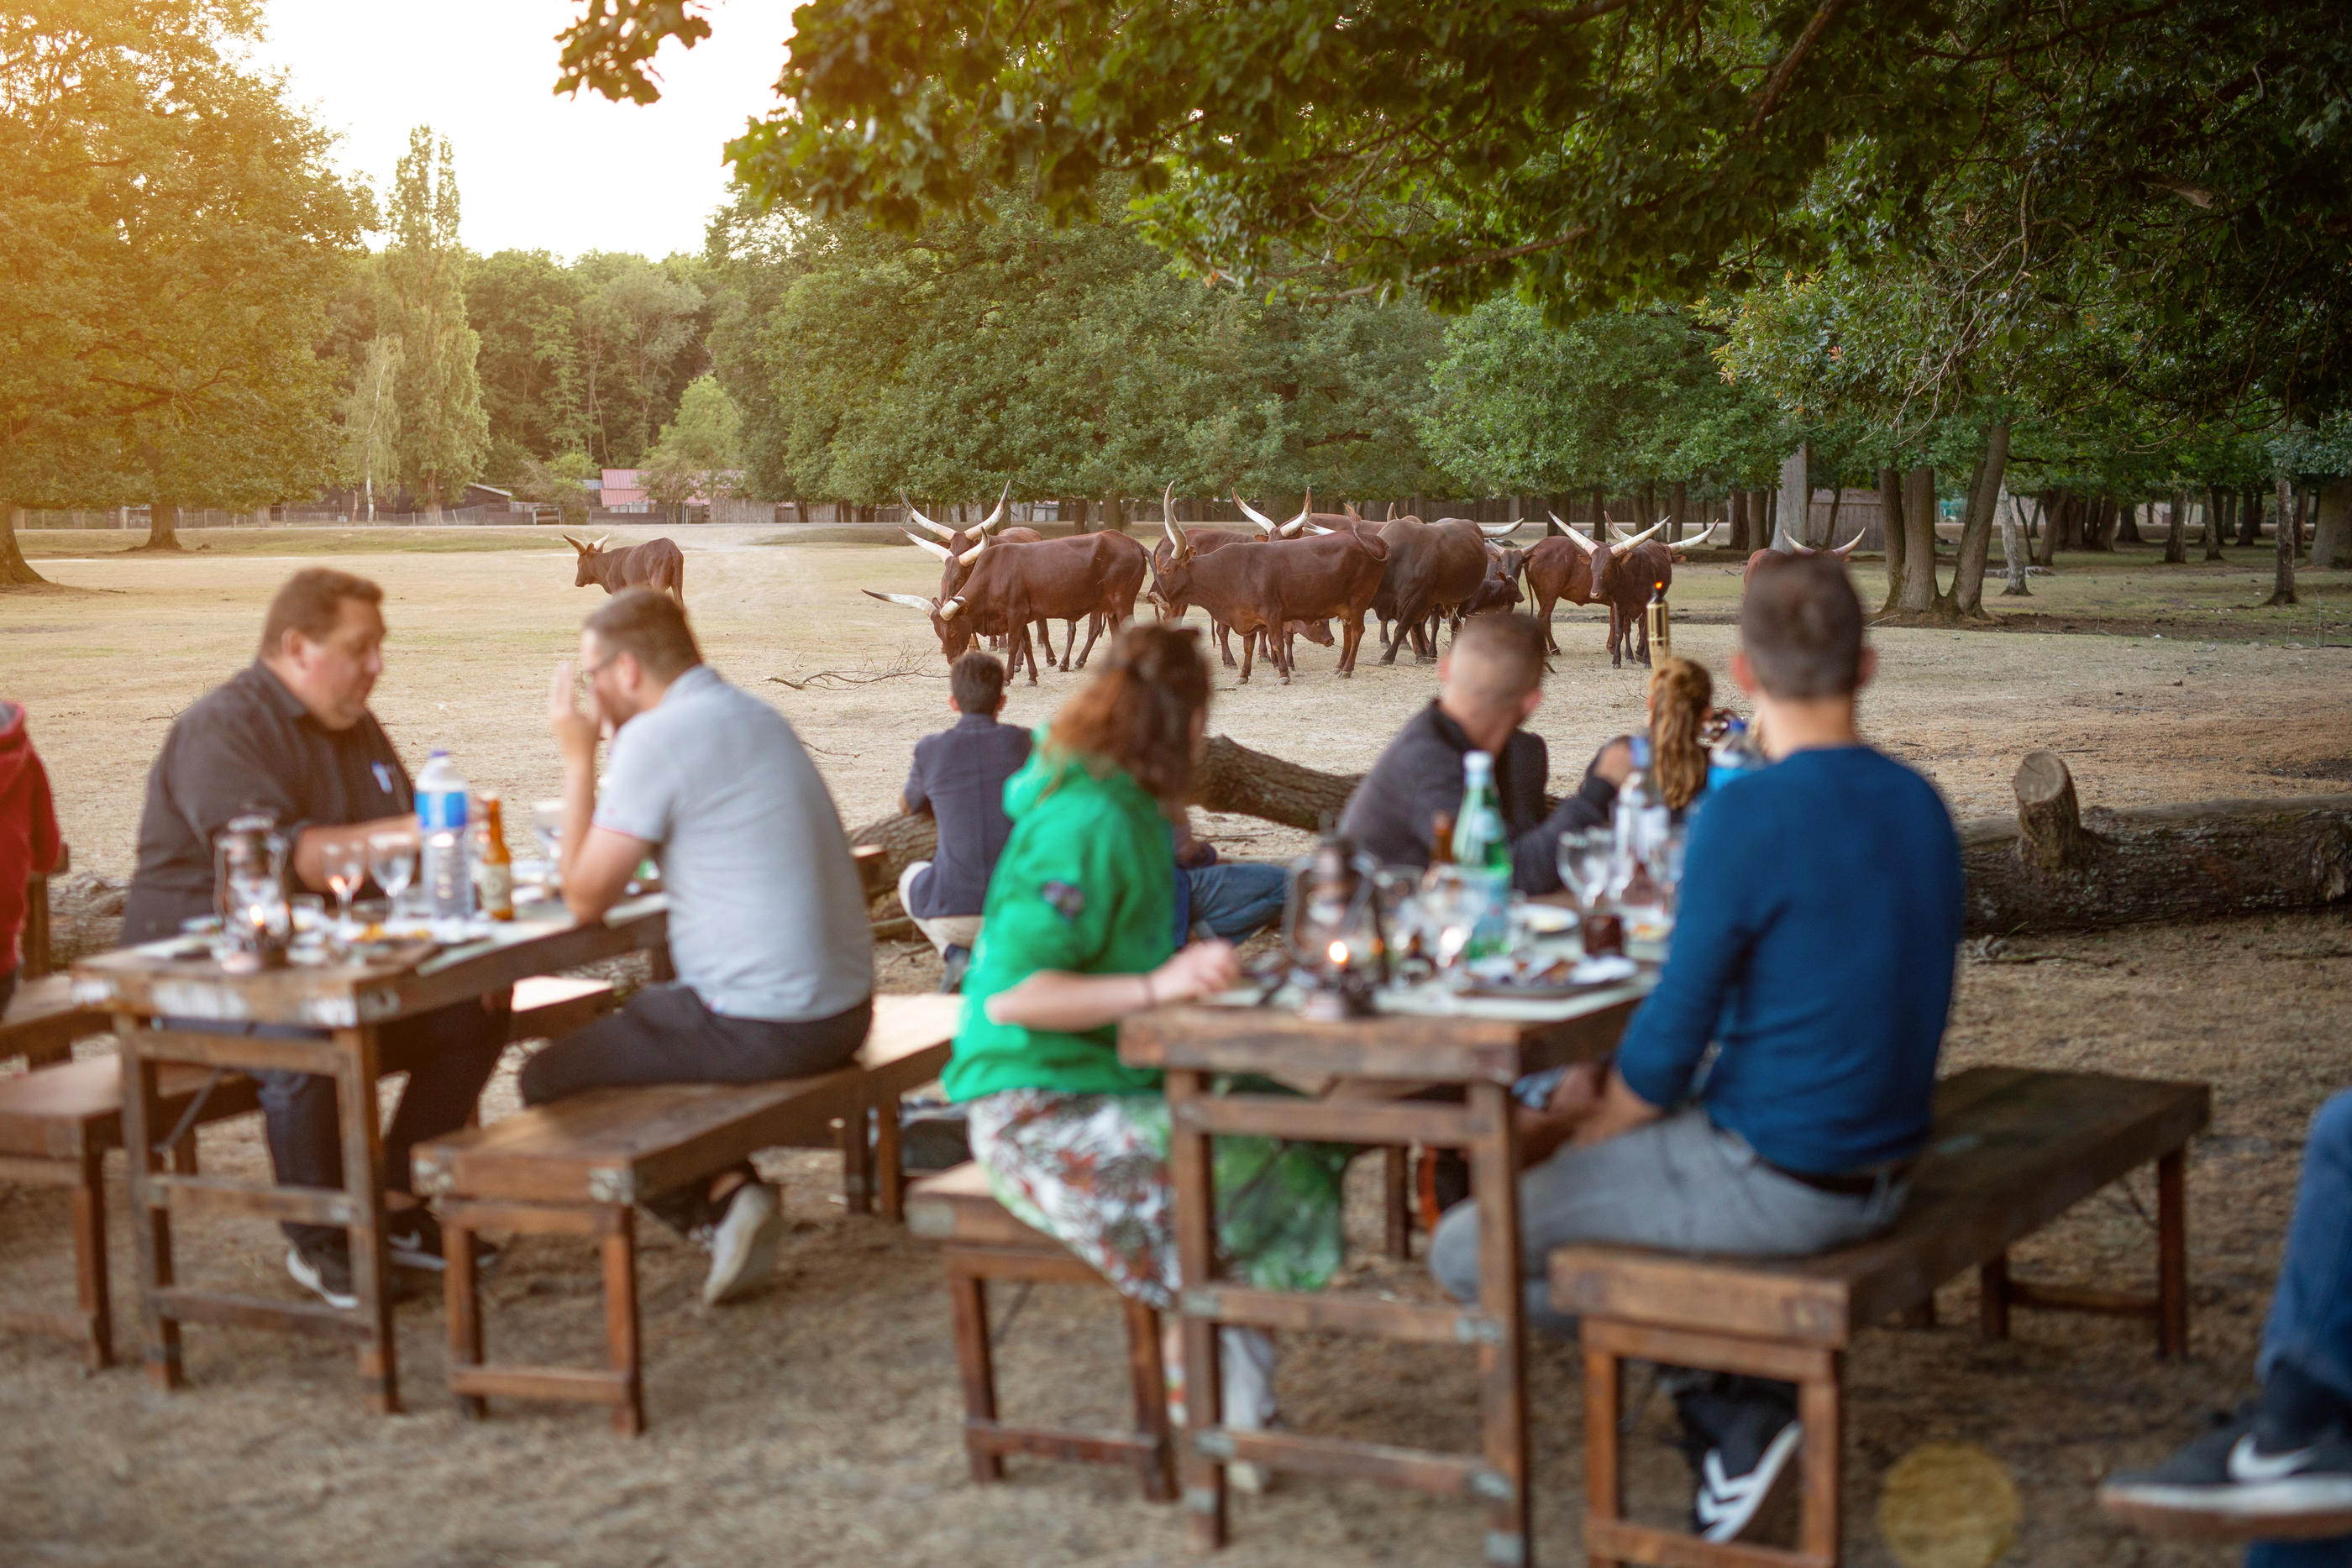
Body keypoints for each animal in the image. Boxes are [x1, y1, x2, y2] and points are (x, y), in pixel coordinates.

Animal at [564, 533, 686, 606]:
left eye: (579, 563)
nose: (576, 582)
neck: (608, 564)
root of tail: (671, 548)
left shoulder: (617, 590)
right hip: (677, 584)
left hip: (658, 584)